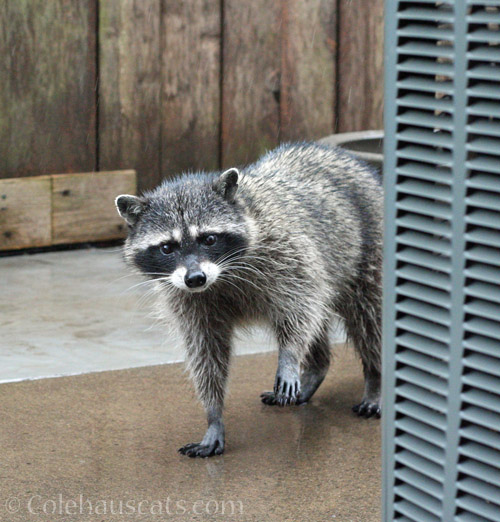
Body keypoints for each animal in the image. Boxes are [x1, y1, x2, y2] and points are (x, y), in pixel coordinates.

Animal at [116, 141, 382, 456]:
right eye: (167, 247)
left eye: (209, 239)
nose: (195, 278)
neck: (220, 277)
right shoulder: (187, 299)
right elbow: (206, 352)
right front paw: (213, 415)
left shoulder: (286, 252)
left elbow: (301, 307)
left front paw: (289, 357)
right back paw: (317, 367)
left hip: (370, 248)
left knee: (368, 317)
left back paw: (375, 378)